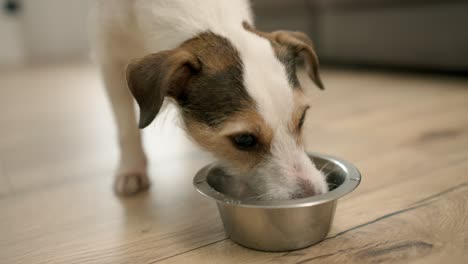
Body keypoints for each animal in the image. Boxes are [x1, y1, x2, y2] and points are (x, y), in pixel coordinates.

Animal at [90, 0, 326, 198]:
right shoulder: (109, 53)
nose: (313, 194)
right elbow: (126, 126)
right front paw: (131, 169)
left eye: (302, 119)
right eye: (244, 139)